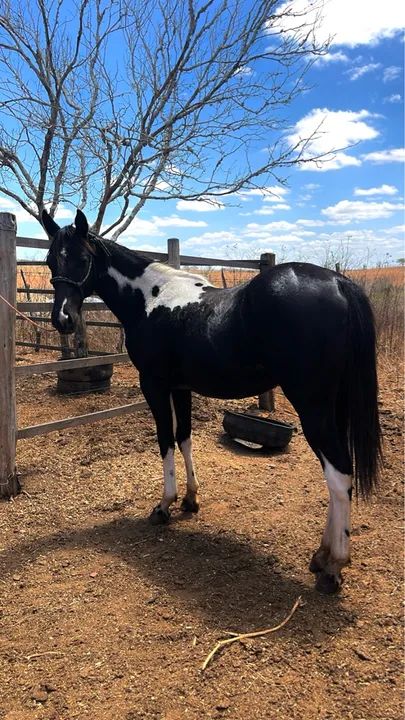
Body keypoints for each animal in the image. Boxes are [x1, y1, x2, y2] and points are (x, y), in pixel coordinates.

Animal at [42, 208, 382, 594]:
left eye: (82, 259)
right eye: (51, 259)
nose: (62, 319)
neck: (151, 299)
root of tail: (339, 283)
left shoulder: (154, 385)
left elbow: (165, 441)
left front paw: (164, 506)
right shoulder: (181, 388)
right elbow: (185, 439)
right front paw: (191, 500)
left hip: (313, 407)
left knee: (339, 476)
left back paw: (334, 567)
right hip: (332, 407)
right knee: (339, 474)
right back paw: (321, 556)